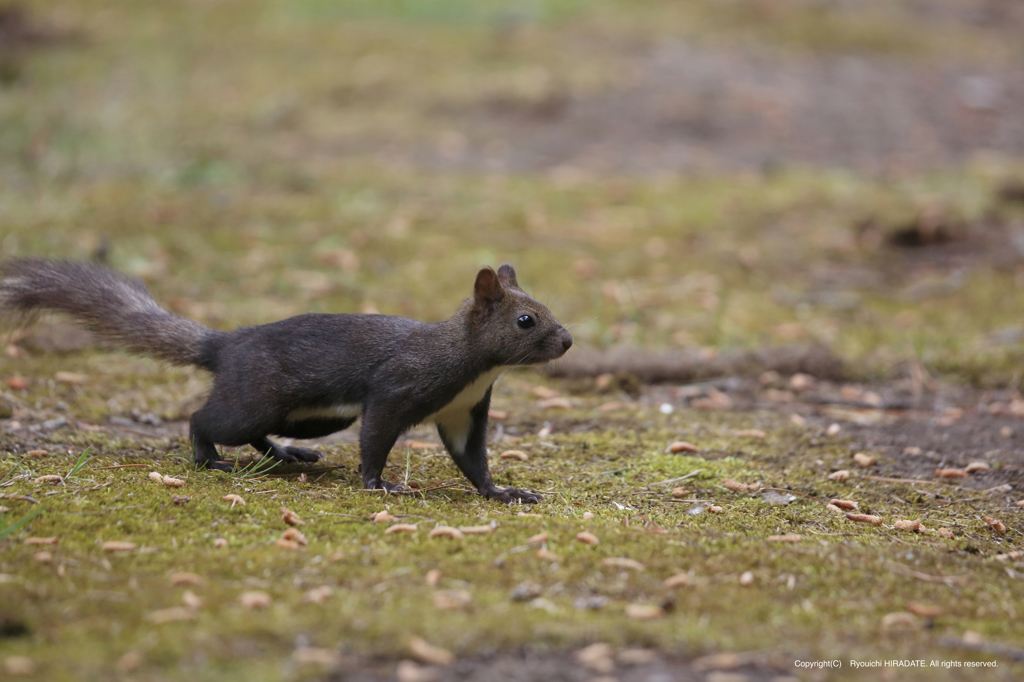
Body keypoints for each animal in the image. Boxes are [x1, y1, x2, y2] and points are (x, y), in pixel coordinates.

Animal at [2, 258, 577, 501]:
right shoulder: (396, 388)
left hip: (310, 417)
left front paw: (504, 492)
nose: (568, 341)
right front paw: (379, 484)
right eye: (525, 320)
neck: (472, 367)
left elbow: (472, 460)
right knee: (206, 418)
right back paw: (209, 457)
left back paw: (286, 453)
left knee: (262, 433)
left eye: (545, 307)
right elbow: (375, 439)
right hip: (255, 398)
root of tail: (226, 345)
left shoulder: (464, 412)